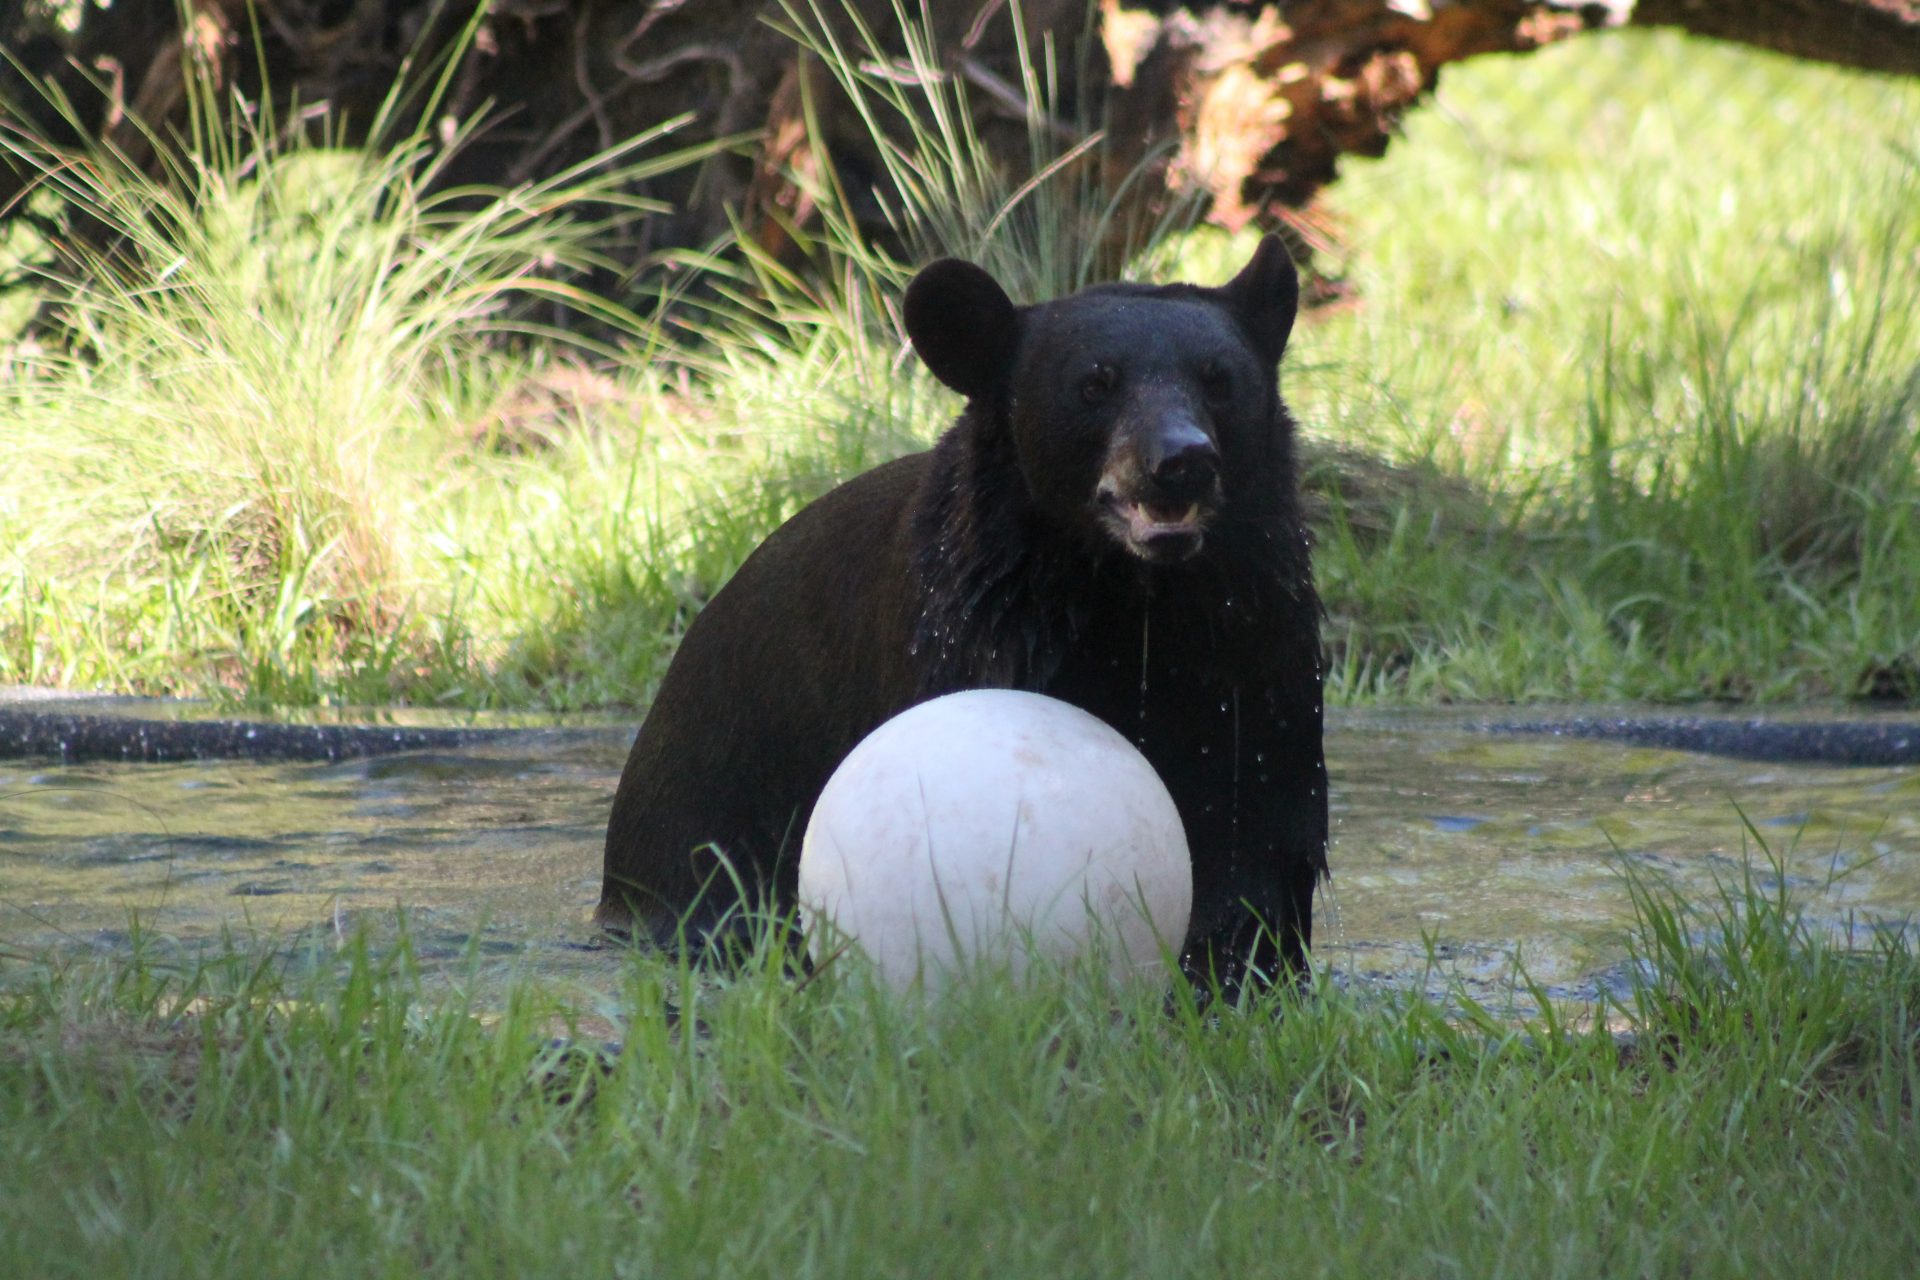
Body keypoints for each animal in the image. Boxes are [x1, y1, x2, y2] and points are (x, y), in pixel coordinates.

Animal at [599, 236, 1327, 988]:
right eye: (1095, 383)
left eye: (1219, 380)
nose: (1181, 460)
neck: (1130, 593)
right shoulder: (980, 631)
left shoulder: (1252, 649)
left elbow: (1254, 822)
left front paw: (1238, 966)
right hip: (705, 811)